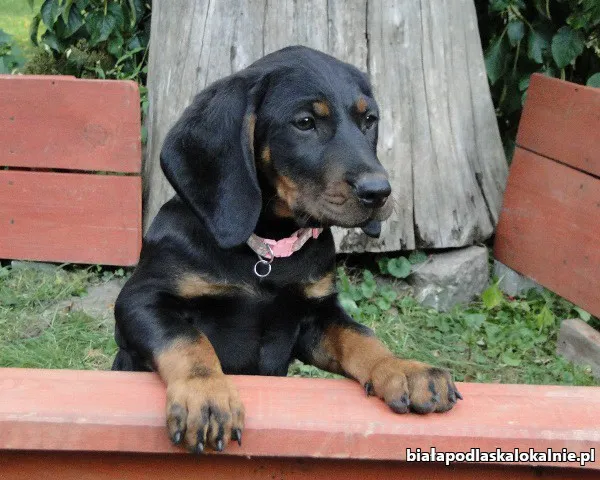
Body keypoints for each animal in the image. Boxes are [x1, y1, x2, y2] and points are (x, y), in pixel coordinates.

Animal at [112, 45, 460, 454]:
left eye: (369, 120)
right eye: (305, 122)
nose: (379, 193)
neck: (268, 253)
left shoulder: (316, 315)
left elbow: (361, 337)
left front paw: (402, 368)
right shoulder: (140, 300)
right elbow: (188, 341)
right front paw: (207, 394)